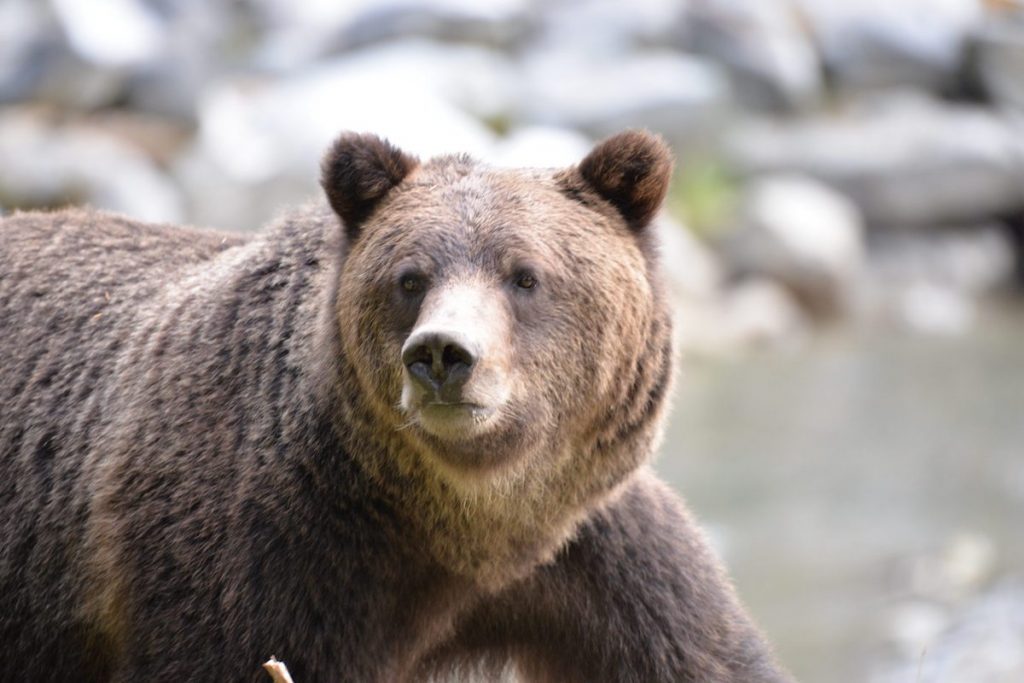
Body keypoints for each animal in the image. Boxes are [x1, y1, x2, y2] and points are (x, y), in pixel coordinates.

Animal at [0, 130, 791, 682]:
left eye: (525, 275)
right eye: (411, 277)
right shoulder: (255, 549)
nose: (443, 352)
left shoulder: (599, 554)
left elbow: (703, 652)